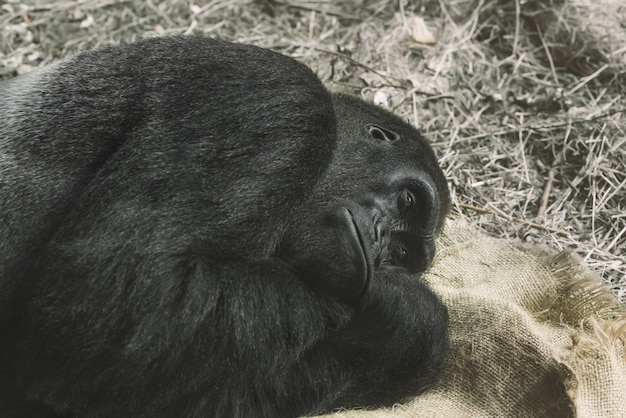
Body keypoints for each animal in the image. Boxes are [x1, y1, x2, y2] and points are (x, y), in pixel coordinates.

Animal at [0, 36, 448, 418]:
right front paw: (403, 304)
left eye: (401, 253)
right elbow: (121, 293)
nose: (379, 244)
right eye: (408, 200)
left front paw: (402, 329)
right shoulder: (278, 103)